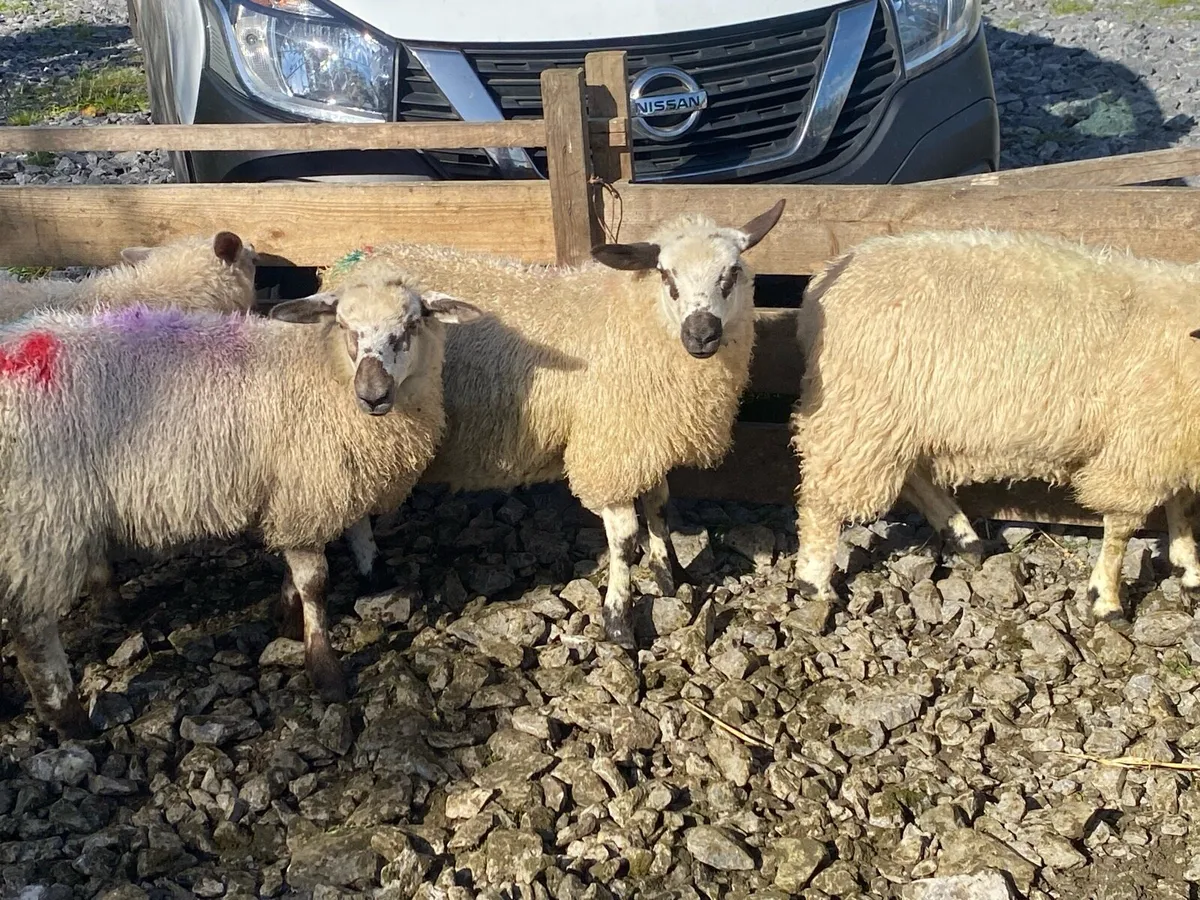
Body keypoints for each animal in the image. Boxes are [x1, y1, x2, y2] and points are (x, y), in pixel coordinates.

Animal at [0, 269, 480, 738]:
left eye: (412, 325)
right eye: (344, 325)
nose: (373, 394)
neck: (322, 371)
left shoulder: (318, 483)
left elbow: (349, 535)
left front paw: (296, 609)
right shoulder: (308, 486)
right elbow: (316, 583)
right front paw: (324, 669)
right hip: (39, 514)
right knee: (32, 626)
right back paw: (69, 719)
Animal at [317, 200, 786, 649]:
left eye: (732, 274)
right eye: (666, 277)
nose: (701, 334)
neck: (633, 316)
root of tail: (344, 265)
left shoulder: (645, 436)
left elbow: (659, 506)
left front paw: (668, 576)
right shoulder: (606, 445)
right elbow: (624, 538)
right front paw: (619, 621)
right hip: (355, 420)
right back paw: (372, 572)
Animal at [790, 227, 1200, 627]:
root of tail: (822, 286)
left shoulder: (1176, 441)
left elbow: (1181, 504)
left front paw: (1189, 570)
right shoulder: (1142, 445)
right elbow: (1122, 528)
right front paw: (1107, 601)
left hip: (894, 421)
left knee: (911, 477)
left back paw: (964, 538)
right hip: (860, 413)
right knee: (823, 496)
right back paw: (814, 582)